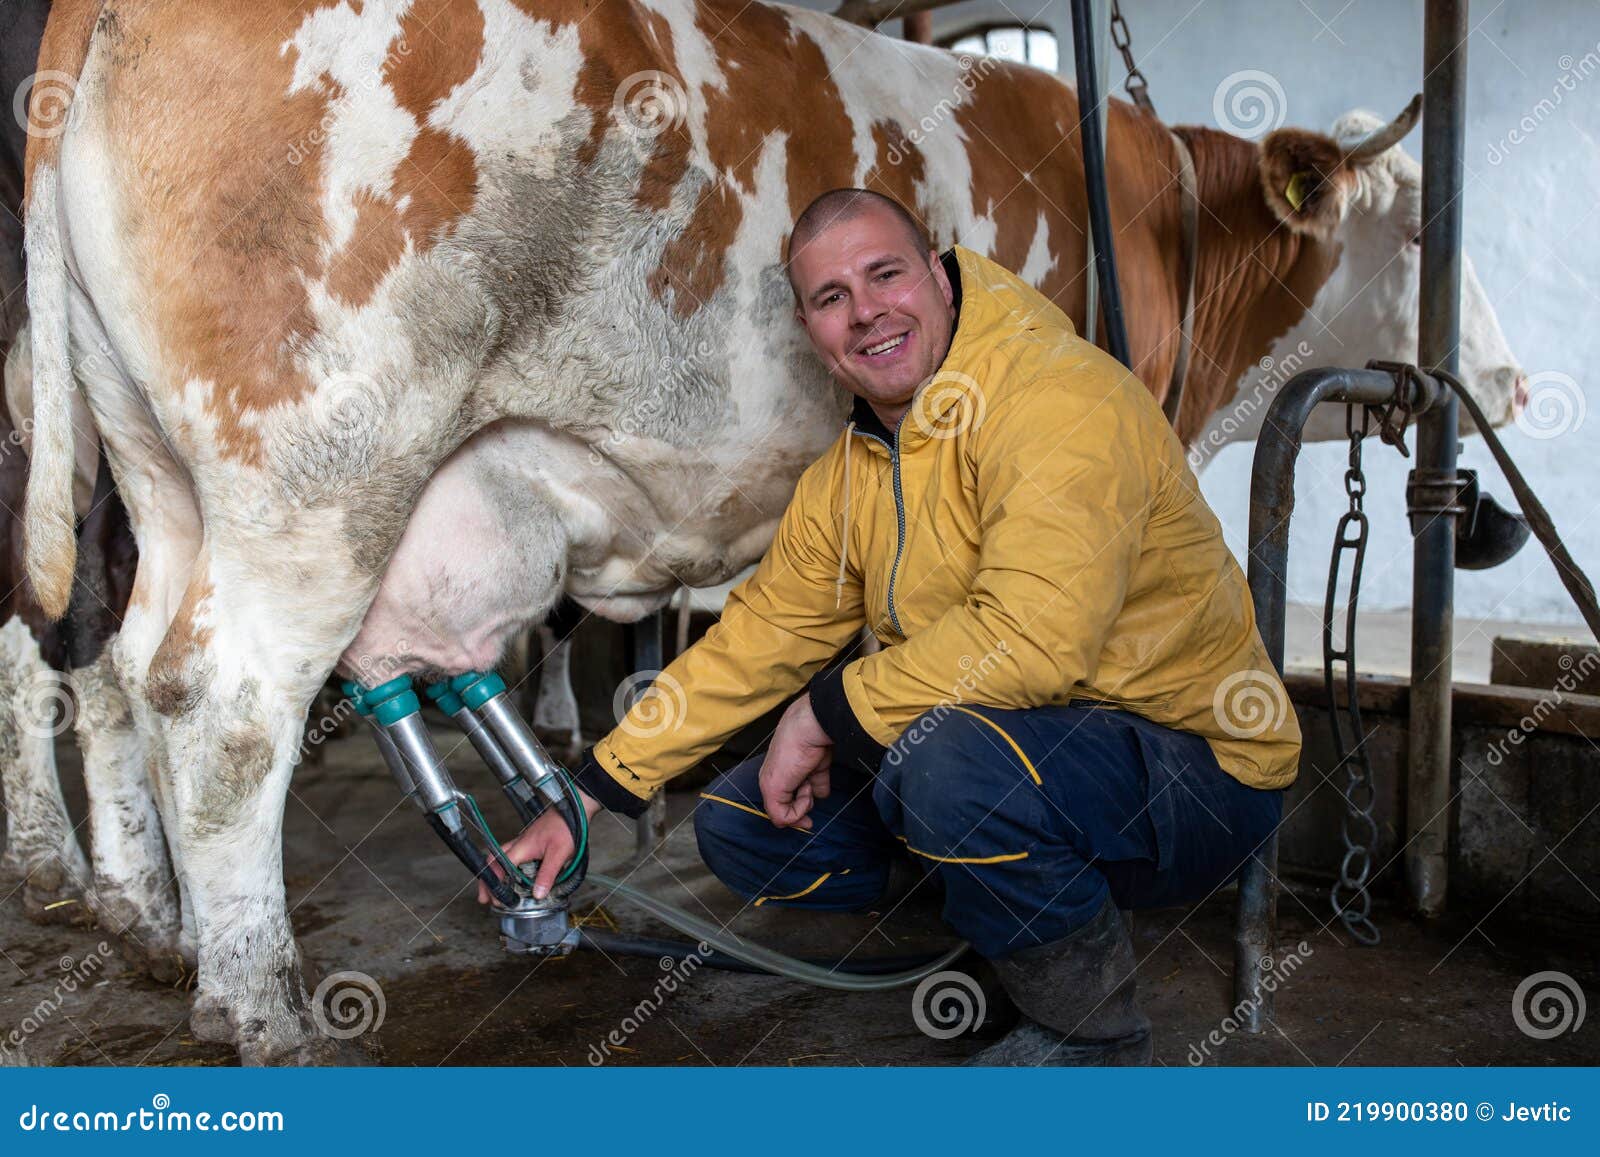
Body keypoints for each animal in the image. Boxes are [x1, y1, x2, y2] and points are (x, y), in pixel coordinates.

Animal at [18, 2, 1523, 1068]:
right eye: (1418, 234)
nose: (1501, 385)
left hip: (152, 466)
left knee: (124, 669)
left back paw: (159, 935)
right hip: (313, 472)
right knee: (222, 711)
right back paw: (260, 1007)